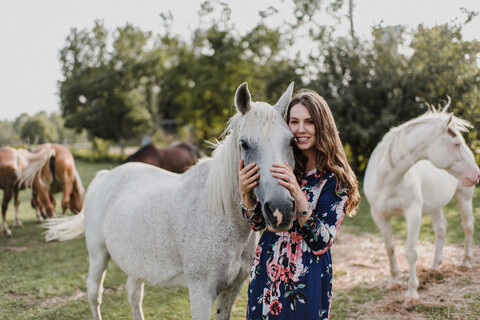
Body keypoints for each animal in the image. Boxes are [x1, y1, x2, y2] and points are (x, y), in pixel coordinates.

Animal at [47, 83, 298, 320]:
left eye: (291, 141)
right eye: (244, 144)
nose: (281, 210)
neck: (220, 214)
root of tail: (105, 176)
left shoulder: (232, 291)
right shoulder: (201, 292)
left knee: (134, 294)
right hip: (98, 255)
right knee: (94, 293)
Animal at [364, 102, 480, 304]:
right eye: (456, 144)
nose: (476, 174)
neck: (388, 179)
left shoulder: (413, 213)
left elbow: (411, 252)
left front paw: (411, 294)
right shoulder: (379, 216)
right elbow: (389, 248)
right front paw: (393, 281)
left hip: (464, 198)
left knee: (468, 226)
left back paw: (465, 262)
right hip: (435, 206)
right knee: (441, 229)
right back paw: (434, 267)